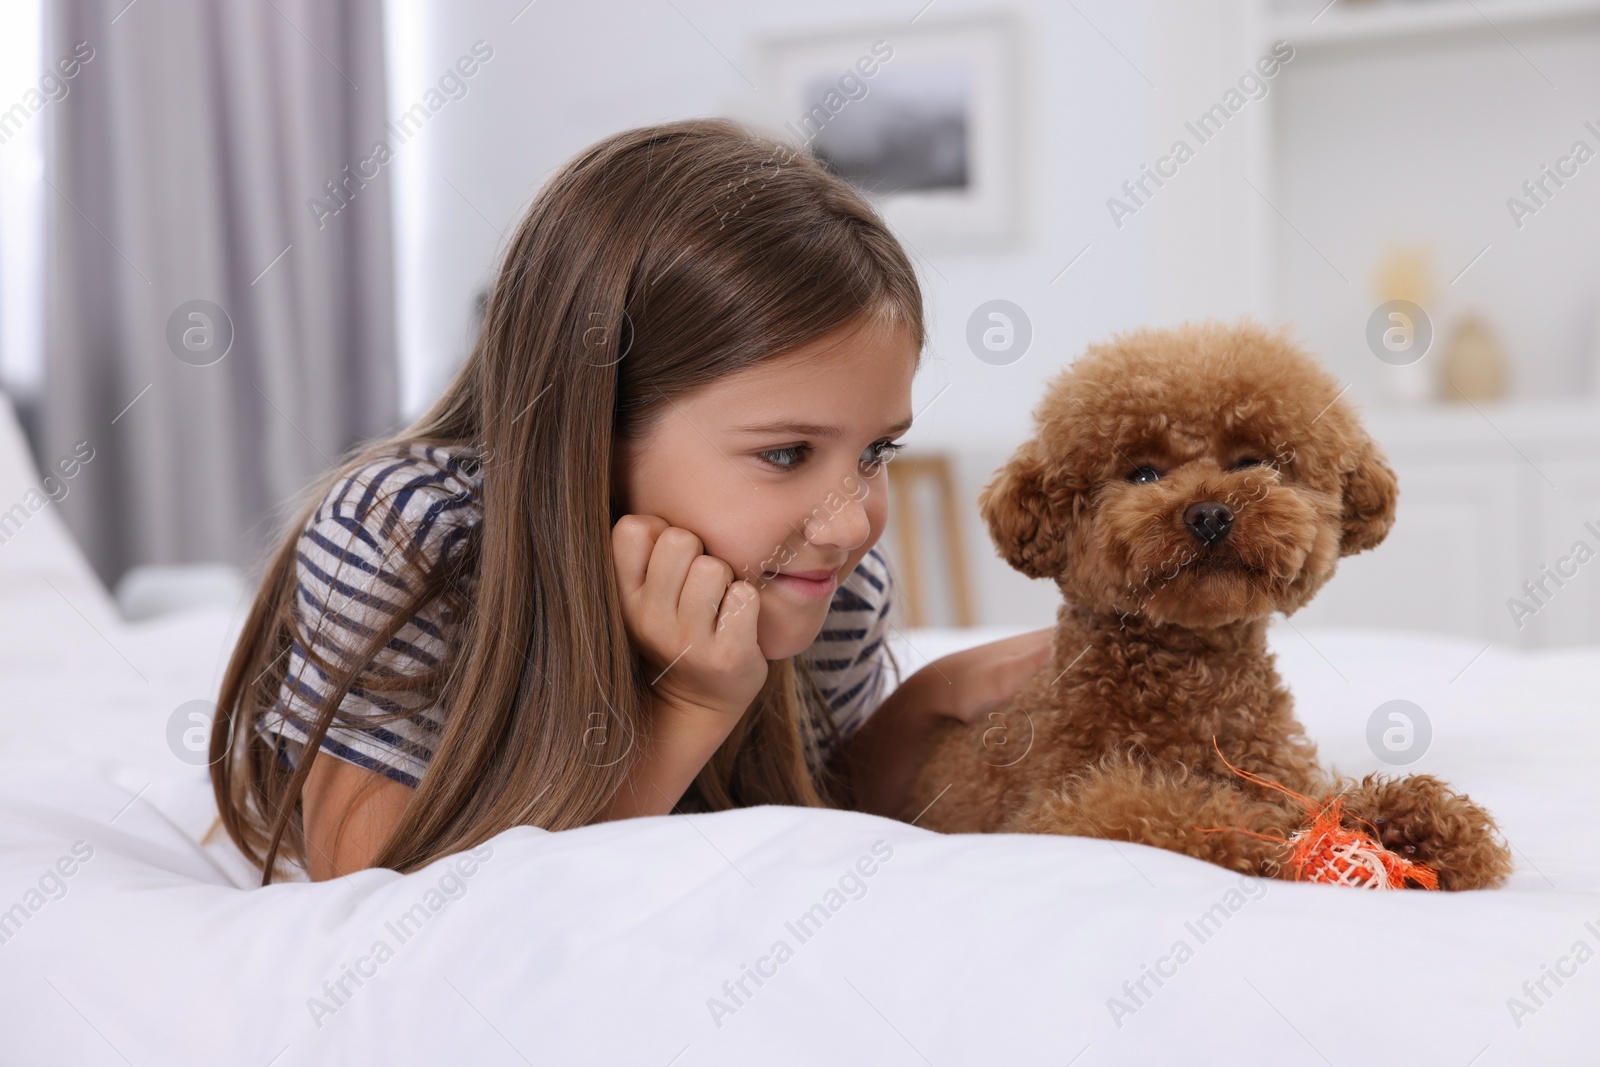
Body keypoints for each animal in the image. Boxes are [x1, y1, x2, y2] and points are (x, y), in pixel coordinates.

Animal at [902, 321, 1510, 889]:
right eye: (1143, 473)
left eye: (1250, 461)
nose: (1210, 514)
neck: (1193, 674)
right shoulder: (1058, 808)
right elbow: (1162, 810)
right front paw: (1265, 836)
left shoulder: (1280, 771)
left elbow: (1318, 798)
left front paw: (1421, 823)